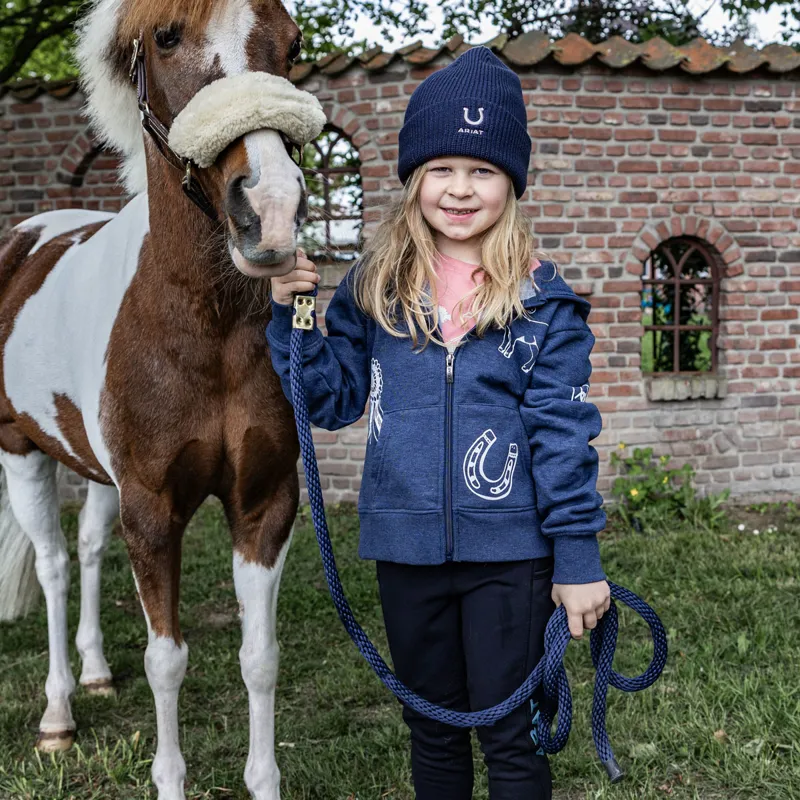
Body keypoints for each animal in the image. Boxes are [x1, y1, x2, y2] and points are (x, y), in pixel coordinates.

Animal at [0, 1, 319, 797]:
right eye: (167, 37)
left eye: (293, 43)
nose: (270, 208)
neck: (203, 323)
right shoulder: (151, 509)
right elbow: (167, 661)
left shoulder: (264, 503)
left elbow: (259, 659)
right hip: (20, 451)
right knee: (53, 565)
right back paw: (58, 714)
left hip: (94, 469)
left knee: (85, 550)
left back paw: (94, 673)